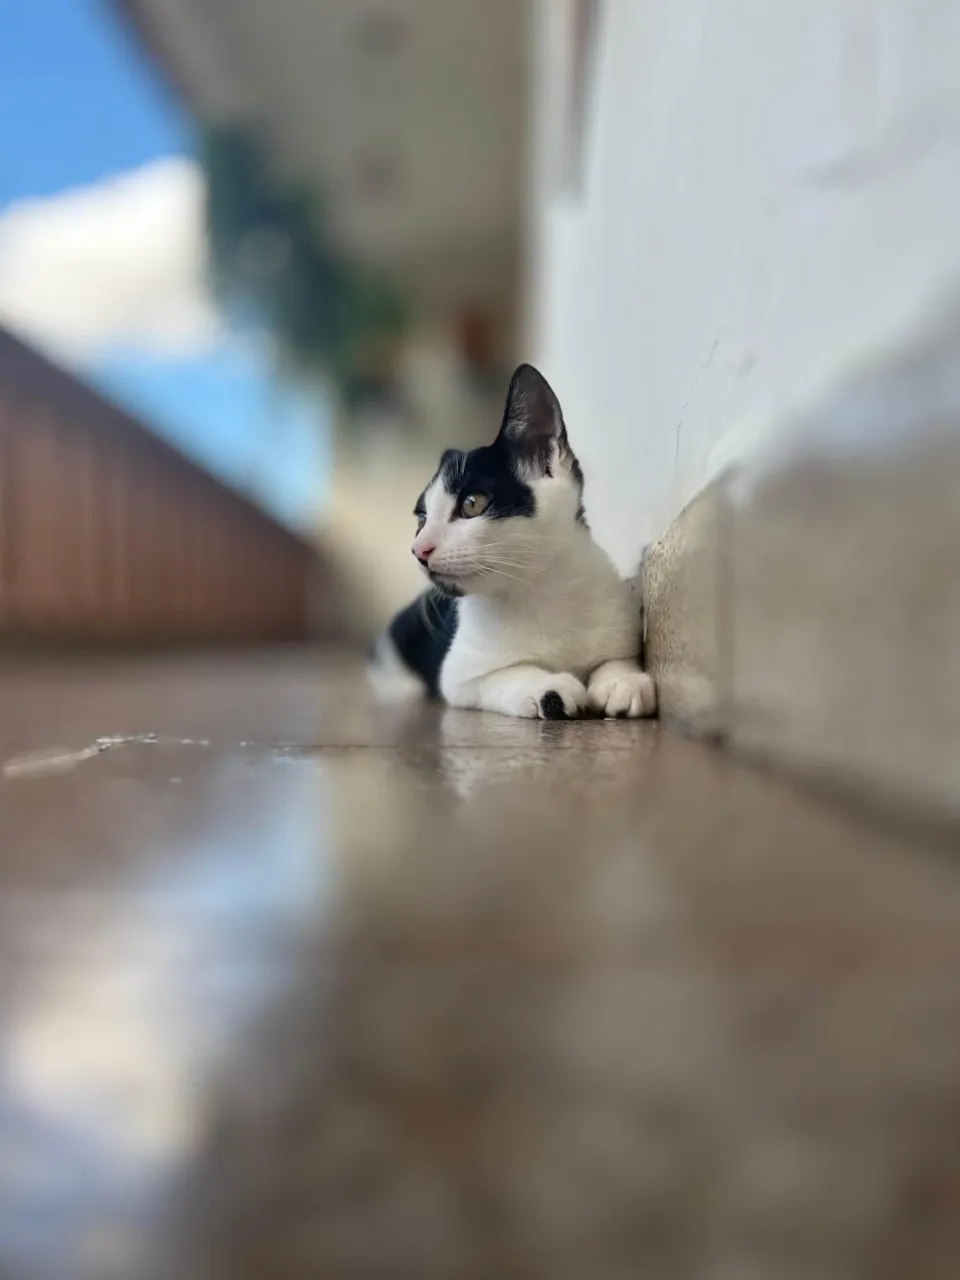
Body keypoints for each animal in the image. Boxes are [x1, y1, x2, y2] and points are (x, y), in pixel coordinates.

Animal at [369, 363, 657, 720]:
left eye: (472, 504)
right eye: (421, 519)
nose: (419, 549)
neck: (538, 591)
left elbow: (617, 657)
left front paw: (623, 680)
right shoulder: (458, 674)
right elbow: (502, 676)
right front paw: (547, 686)